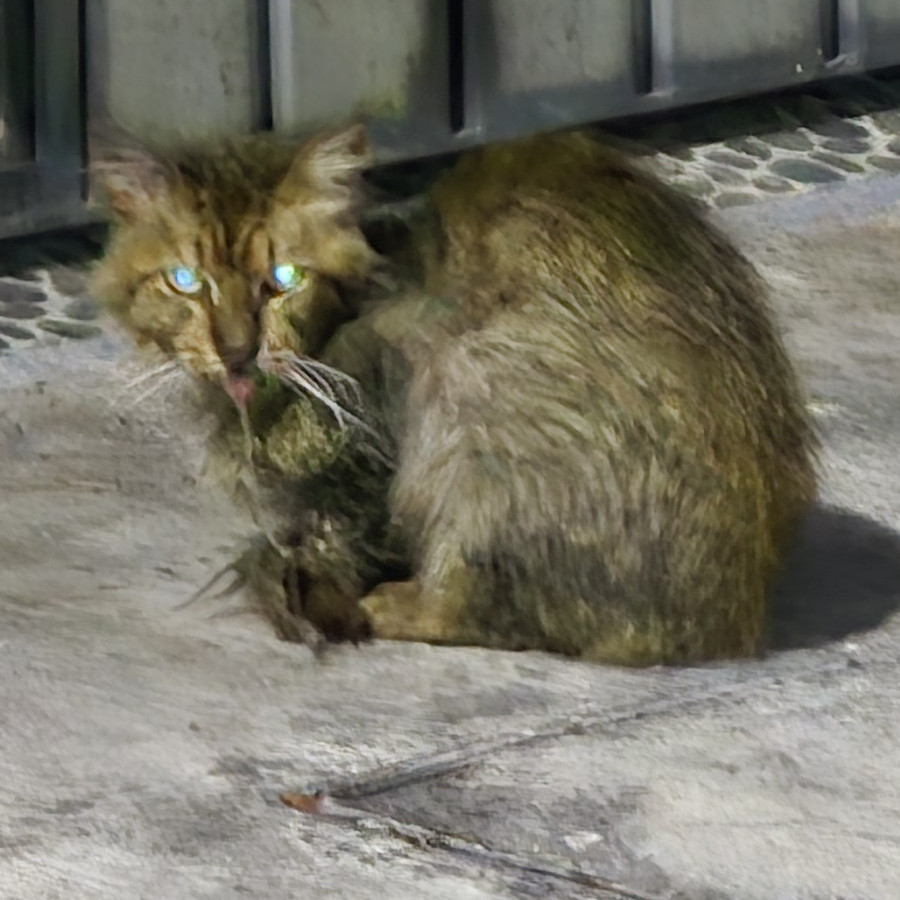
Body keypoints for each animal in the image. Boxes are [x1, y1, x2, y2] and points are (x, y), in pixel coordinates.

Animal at [89, 123, 816, 664]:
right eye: (186, 281)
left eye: (284, 279)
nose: (237, 349)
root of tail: (730, 623)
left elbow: (346, 531)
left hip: (476, 406)